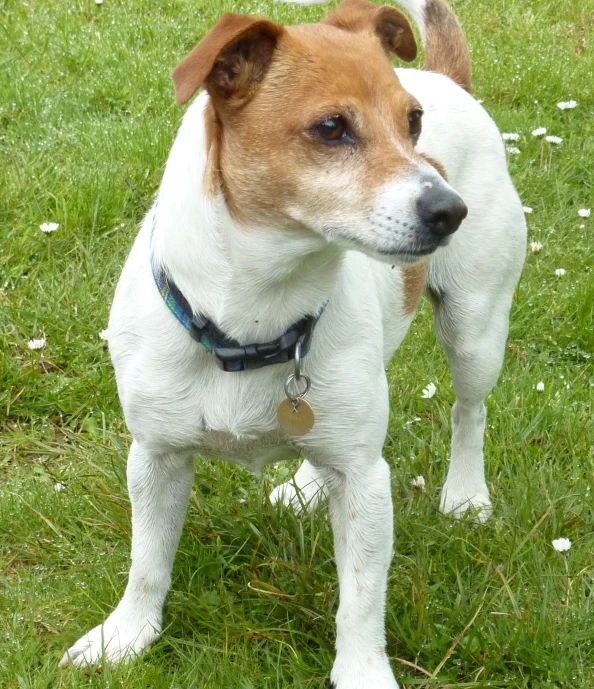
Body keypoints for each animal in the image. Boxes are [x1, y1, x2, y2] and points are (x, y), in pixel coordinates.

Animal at [59, 1, 524, 684]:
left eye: (413, 121)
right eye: (332, 128)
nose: (450, 210)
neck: (256, 317)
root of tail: (450, 81)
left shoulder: (365, 478)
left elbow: (362, 596)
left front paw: (362, 671)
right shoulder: (155, 456)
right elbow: (147, 562)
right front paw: (125, 637)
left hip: (475, 328)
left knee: (470, 413)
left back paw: (466, 496)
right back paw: (305, 485)